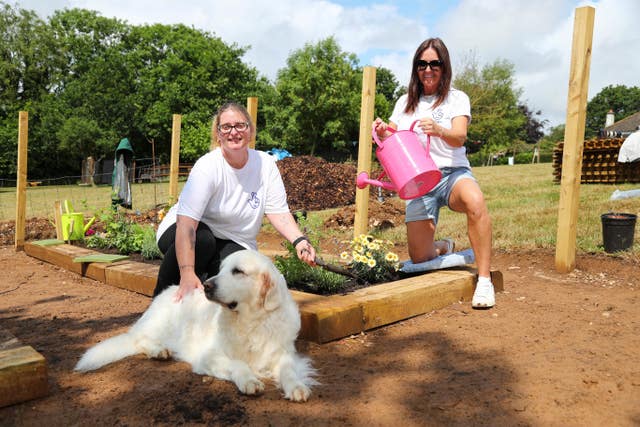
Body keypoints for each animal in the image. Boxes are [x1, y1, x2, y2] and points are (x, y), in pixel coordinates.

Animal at [74, 249, 318, 402]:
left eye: (238, 271)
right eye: (221, 269)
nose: (206, 285)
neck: (250, 322)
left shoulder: (283, 354)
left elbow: (288, 370)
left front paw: (296, 387)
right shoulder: (209, 356)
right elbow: (238, 364)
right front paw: (249, 380)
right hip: (163, 325)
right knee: (139, 339)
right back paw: (158, 351)